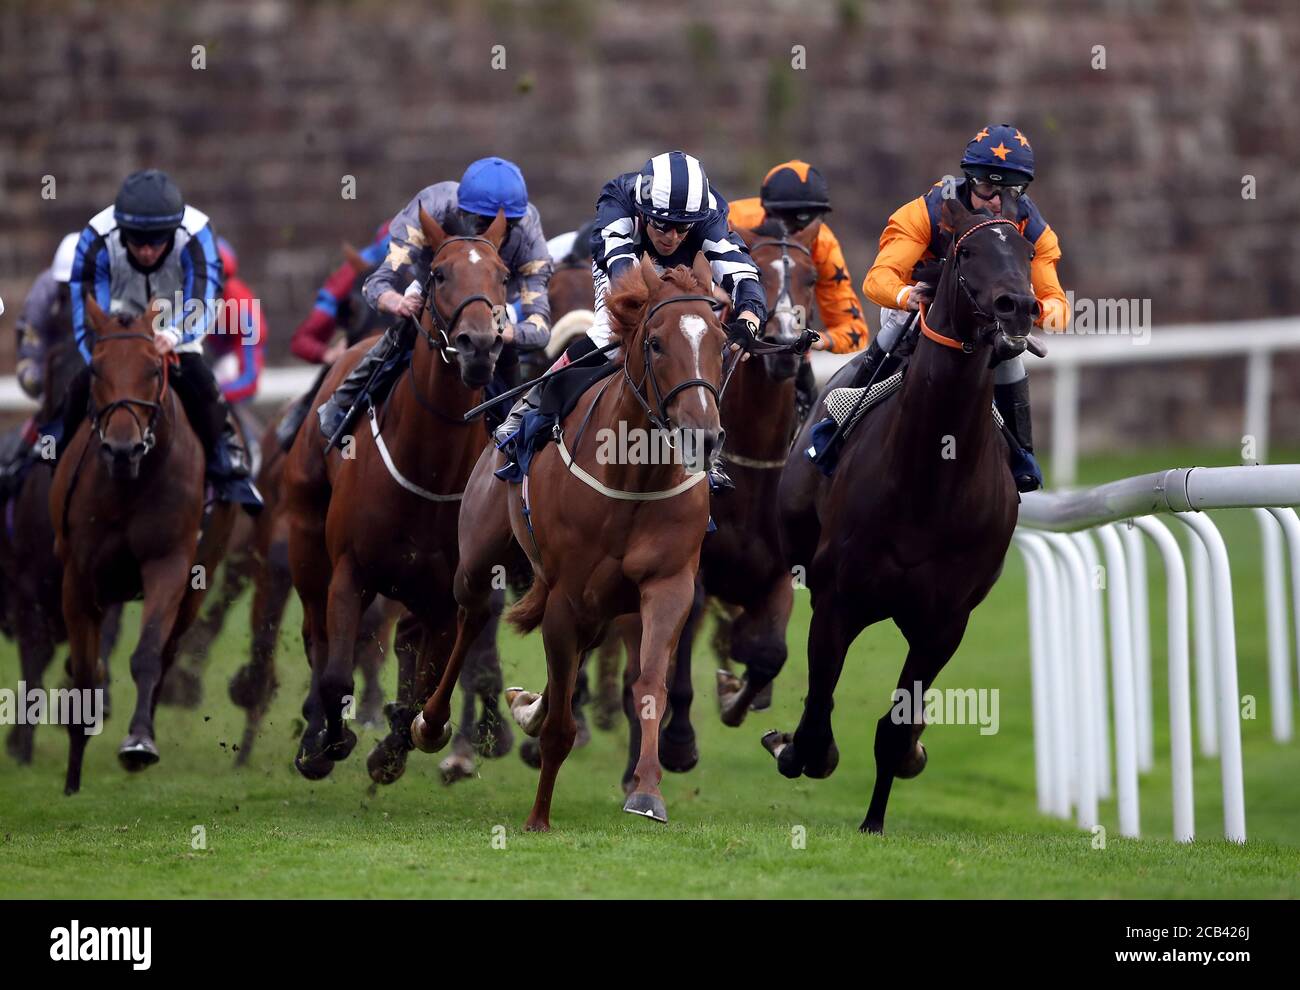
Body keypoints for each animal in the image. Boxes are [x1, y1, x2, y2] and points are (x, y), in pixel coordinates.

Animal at [52, 297, 237, 789]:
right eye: (96, 369)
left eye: (155, 368)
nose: (122, 449)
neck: (127, 487)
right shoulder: (77, 577)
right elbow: (84, 672)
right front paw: (72, 776)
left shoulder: (169, 563)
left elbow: (149, 654)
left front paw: (138, 742)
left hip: (197, 582)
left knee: (168, 651)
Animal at [284, 206, 512, 779]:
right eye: (440, 274)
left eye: (502, 277)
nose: (479, 345)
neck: (428, 467)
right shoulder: (350, 570)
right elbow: (335, 671)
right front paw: (327, 743)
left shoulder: (449, 591)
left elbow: (428, 680)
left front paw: (395, 746)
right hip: (305, 543)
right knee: (315, 633)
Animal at [410, 252, 728, 826]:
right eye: (655, 343)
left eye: (719, 340)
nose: (703, 436)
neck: (634, 475)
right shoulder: (566, 596)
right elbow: (562, 723)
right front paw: (538, 818)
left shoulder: (668, 583)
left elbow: (650, 683)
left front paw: (647, 791)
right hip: (479, 558)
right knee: (471, 617)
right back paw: (431, 722)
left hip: (604, 602)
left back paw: (527, 708)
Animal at [769, 196, 1034, 831]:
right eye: (967, 249)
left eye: (1026, 250)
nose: (1018, 306)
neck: (931, 480)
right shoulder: (838, 599)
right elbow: (818, 707)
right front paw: (798, 749)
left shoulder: (944, 623)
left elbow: (895, 728)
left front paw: (876, 816)